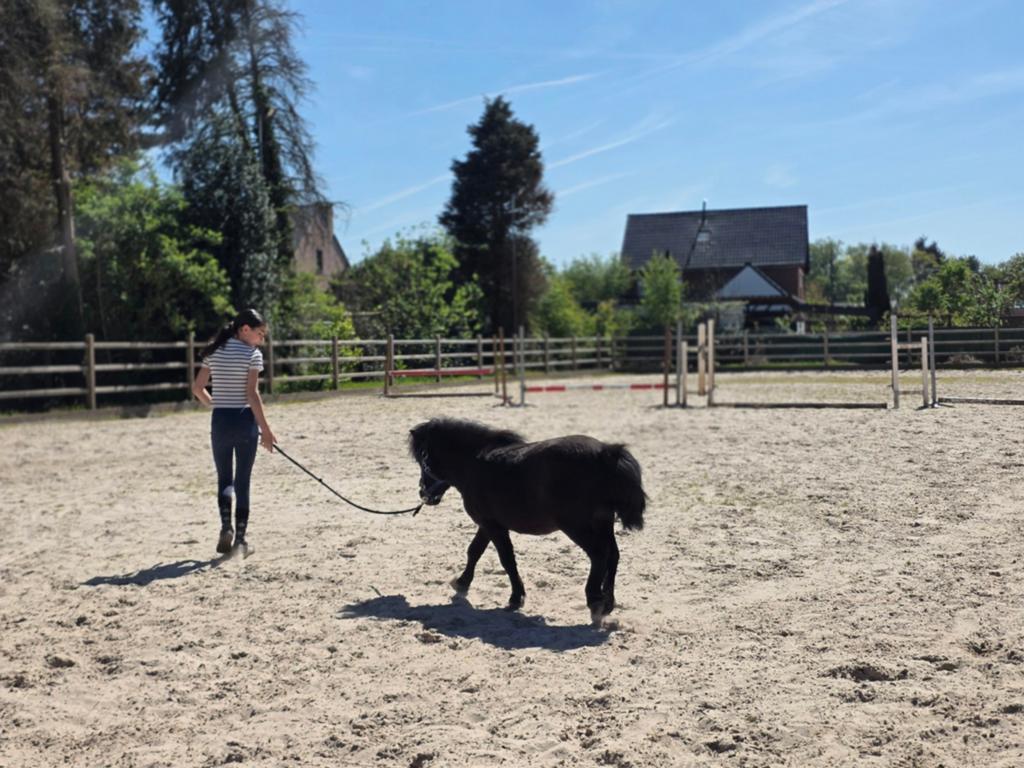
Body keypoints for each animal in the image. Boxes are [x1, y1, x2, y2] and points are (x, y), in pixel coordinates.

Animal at [408, 418, 646, 623]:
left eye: (423, 459)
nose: (423, 493)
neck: (474, 463)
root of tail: (606, 453)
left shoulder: (492, 526)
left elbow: (506, 559)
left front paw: (516, 597)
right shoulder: (488, 524)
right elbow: (474, 551)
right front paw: (461, 582)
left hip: (577, 526)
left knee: (599, 555)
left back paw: (595, 601)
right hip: (603, 523)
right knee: (613, 555)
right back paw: (608, 603)